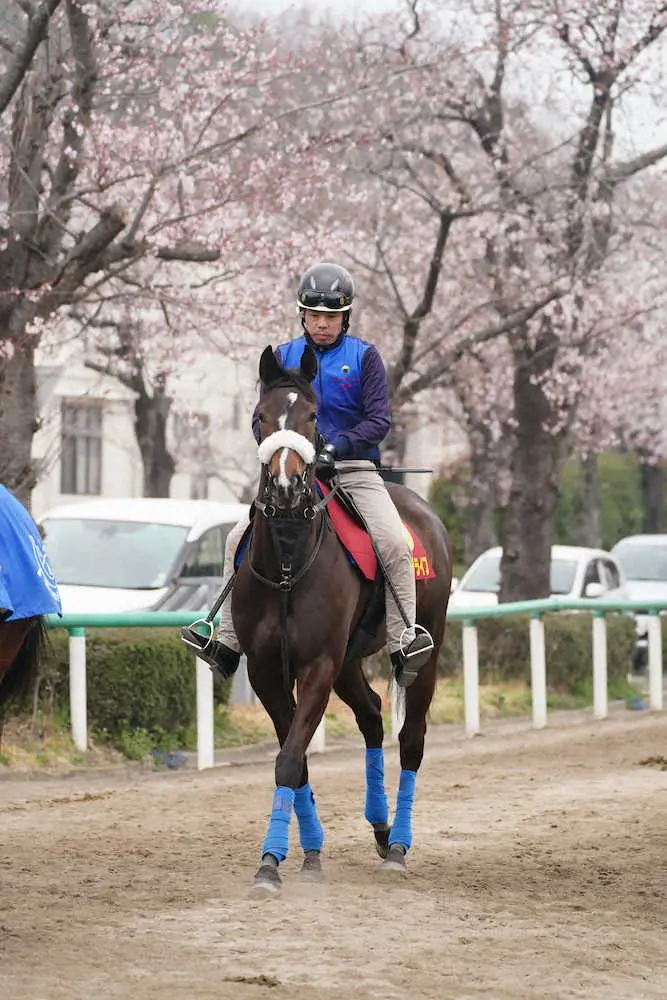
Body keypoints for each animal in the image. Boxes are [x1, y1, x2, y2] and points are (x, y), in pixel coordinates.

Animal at [230, 344, 454, 892]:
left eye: (313, 417)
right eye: (260, 416)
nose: (285, 486)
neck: (289, 562)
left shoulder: (317, 666)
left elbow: (290, 758)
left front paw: (271, 860)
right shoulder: (266, 670)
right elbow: (295, 759)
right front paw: (302, 853)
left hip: (424, 651)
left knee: (411, 739)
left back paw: (398, 845)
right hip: (349, 661)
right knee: (372, 715)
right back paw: (380, 825)